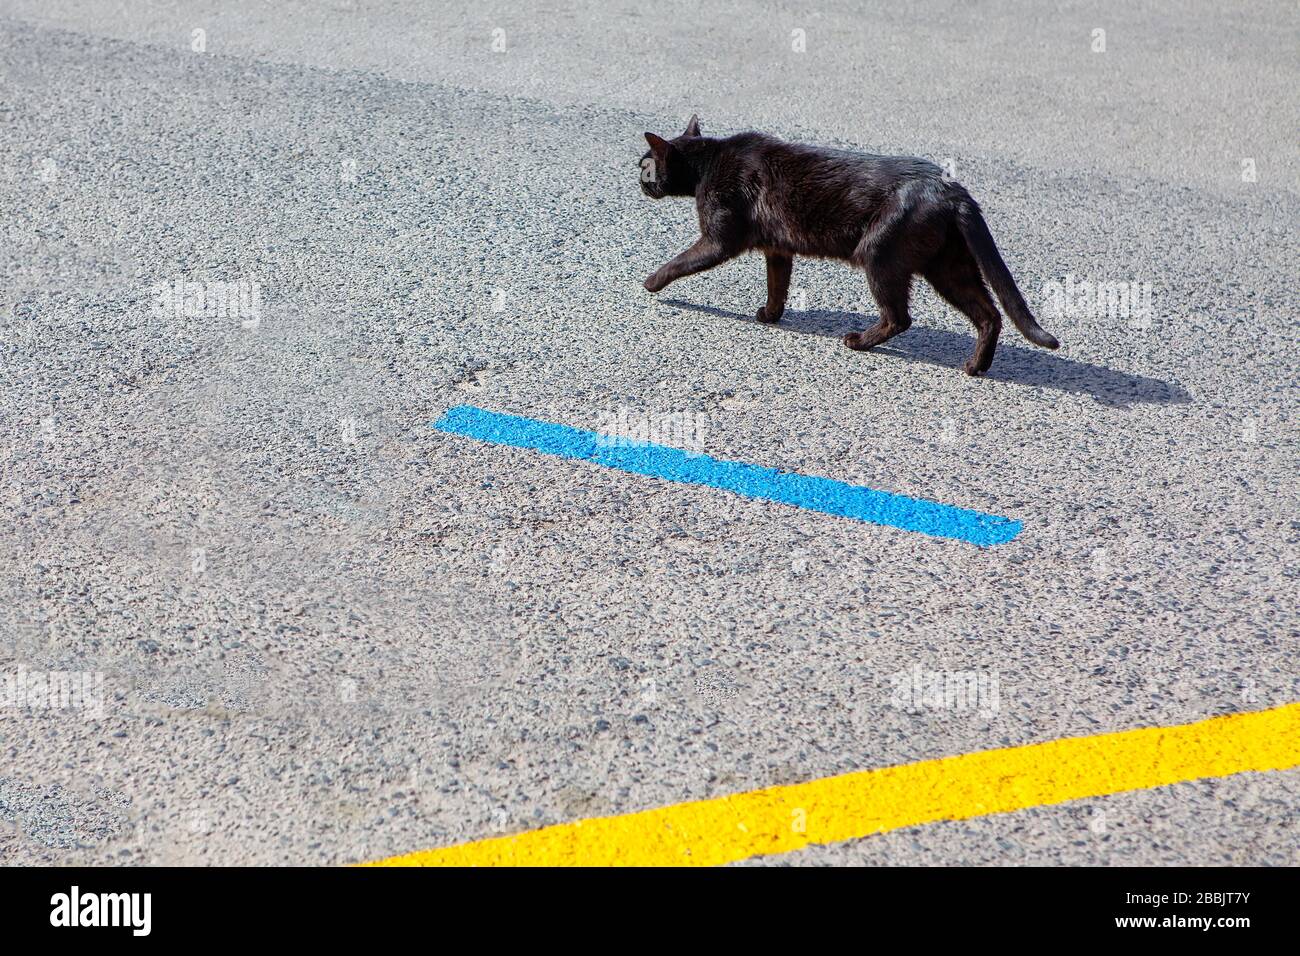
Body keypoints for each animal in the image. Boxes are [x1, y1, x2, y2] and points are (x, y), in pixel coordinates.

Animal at [639, 113, 1055, 374]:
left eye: (645, 164)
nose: (636, 180)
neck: (707, 163)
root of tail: (954, 191)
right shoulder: (778, 249)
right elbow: (777, 285)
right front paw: (770, 315)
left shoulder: (719, 239)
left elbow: (680, 261)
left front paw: (651, 282)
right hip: (948, 267)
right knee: (990, 315)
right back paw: (974, 367)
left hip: (881, 255)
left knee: (900, 316)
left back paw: (858, 341)